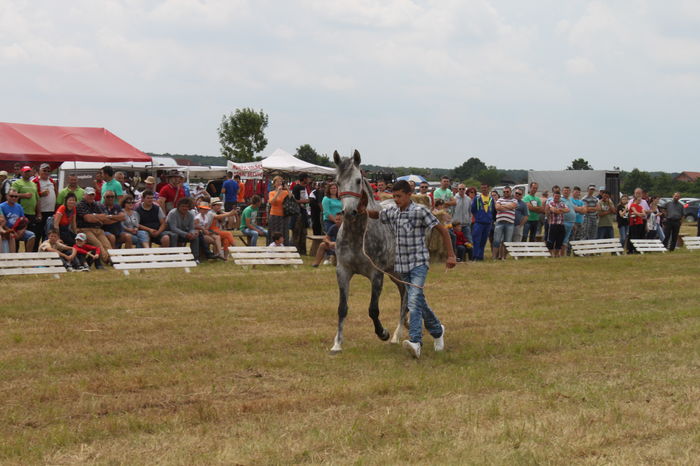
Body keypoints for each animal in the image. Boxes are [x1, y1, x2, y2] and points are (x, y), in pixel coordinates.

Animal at [330, 150, 408, 354]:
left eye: (358, 180)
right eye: (337, 182)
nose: (349, 212)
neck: (358, 236)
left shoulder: (376, 274)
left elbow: (373, 310)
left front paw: (383, 333)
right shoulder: (343, 271)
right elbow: (342, 308)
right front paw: (337, 343)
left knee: (407, 297)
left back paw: (396, 335)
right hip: (394, 272)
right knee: (404, 293)